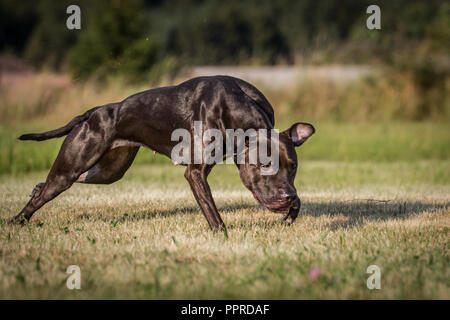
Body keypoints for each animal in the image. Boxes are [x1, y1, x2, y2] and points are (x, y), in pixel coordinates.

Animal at [9, 75, 312, 230]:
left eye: (293, 167)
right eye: (265, 166)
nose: (286, 195)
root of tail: (93, 112)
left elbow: (300, 200)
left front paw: (290, 215)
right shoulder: (195, 173)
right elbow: (212, 213)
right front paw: (223, 236)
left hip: (108, 172)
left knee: (51, 184)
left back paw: (35, 190)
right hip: (72, 167)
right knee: (50, 188)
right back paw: (15, 221)